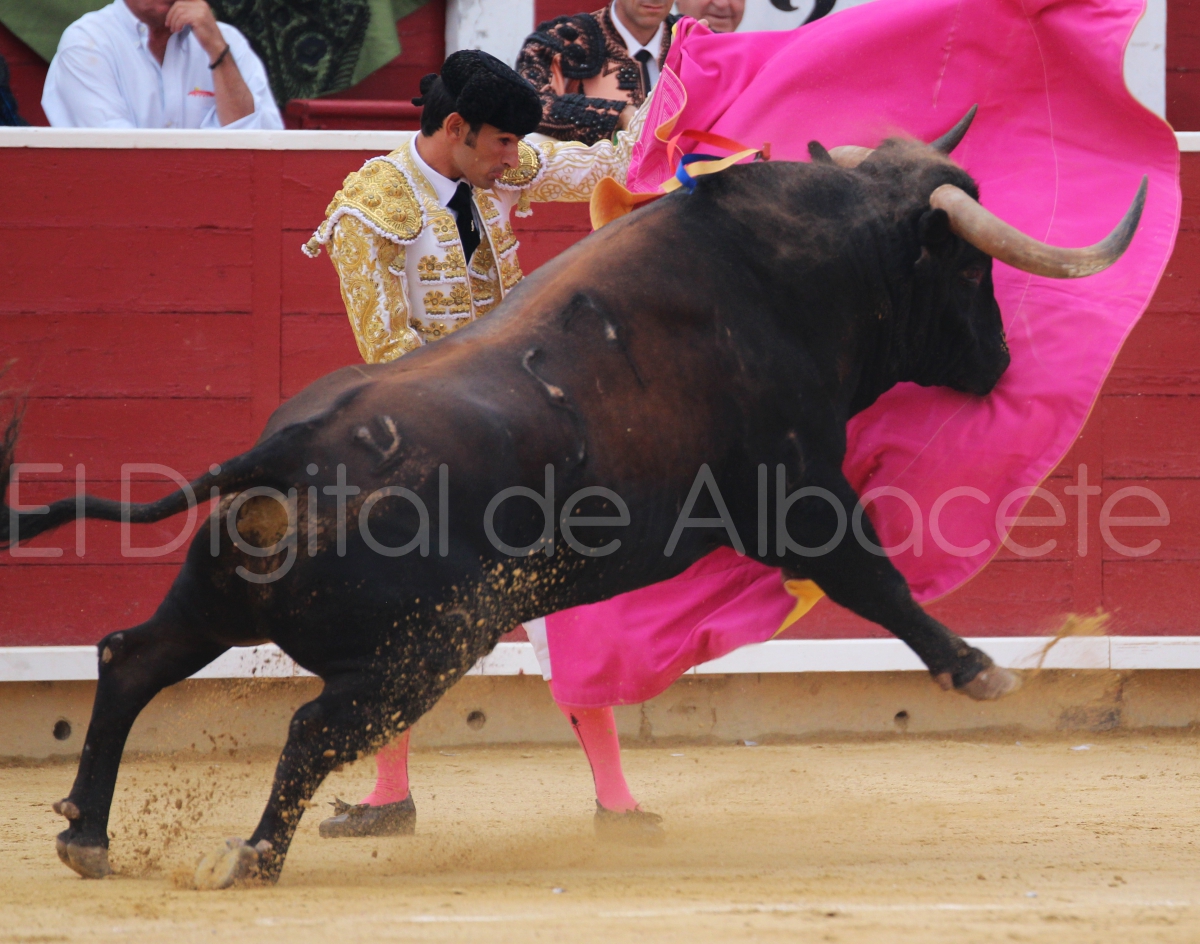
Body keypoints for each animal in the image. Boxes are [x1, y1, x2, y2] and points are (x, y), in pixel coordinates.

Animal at [0, 116, 1144, 888]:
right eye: (967, 268)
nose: (1000, 361)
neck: (790, 273)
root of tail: (284, 448)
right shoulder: (799, 498)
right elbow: (878, 576)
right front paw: (980, 669)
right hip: (431, 639)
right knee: (319, 723)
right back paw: (251, 857)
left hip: (220, 597)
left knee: (131, 656)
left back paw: (87, 832)